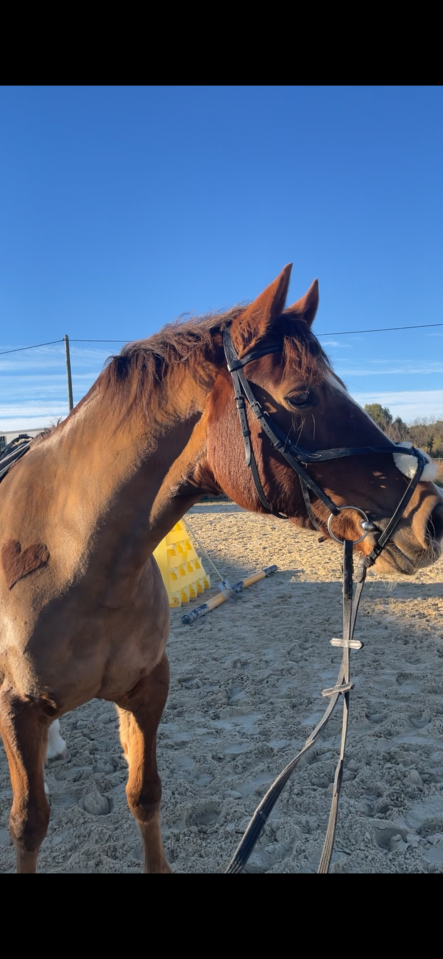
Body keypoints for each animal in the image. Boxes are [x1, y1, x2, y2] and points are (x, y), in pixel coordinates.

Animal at [0, 265, 441, 874]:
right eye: (301, 395)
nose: (433, 516)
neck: (76, 563)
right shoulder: (19, 713)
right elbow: (29, 825)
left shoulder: (146, 691)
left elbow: (144, 794)